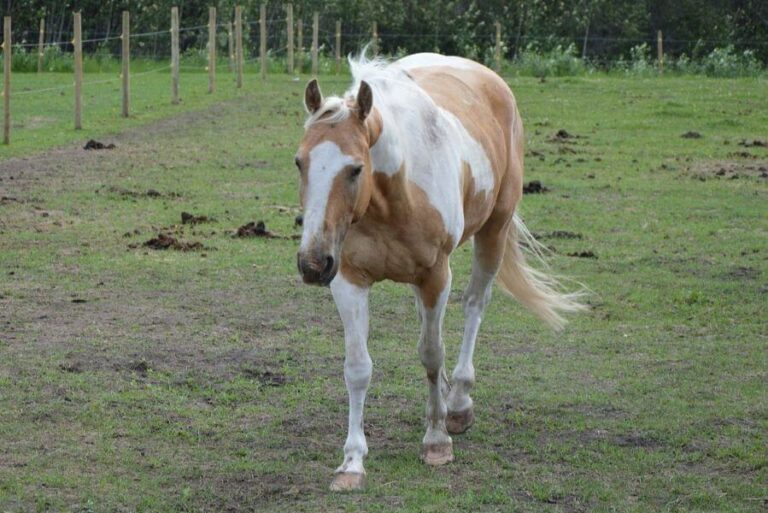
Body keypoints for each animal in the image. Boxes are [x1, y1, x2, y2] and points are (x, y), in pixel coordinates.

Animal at [294, 52, 585, 491]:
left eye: (355, 168)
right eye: (300, 162)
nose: (313, 263)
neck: (392, 198)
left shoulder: (435, 274)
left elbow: (431, 353)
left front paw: (436, 440)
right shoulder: (348, 280)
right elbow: (358, 368)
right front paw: (352, 462)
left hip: (493, 231)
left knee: (474, 306)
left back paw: (459, 402)